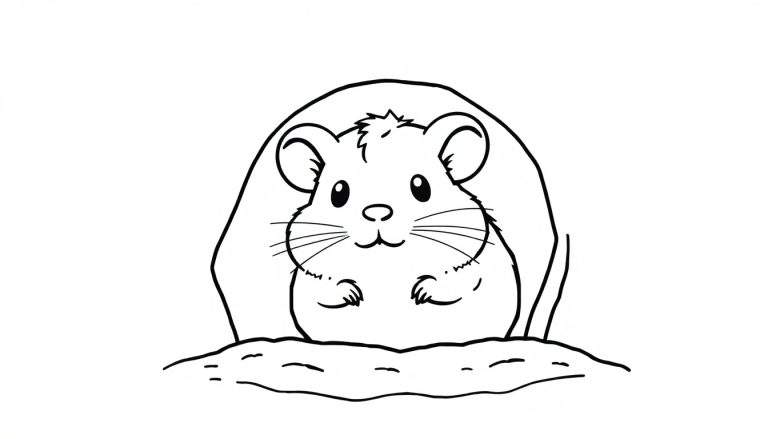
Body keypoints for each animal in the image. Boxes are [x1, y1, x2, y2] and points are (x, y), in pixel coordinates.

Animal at [276, 110, 519, 348]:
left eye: (421, 186)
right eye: (338, 192)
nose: (377, 212)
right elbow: (326, 287)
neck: (389, 264)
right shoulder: (309, 275)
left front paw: (420, 291)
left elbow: (458, 279)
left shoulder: (474, 263)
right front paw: (352, 294)